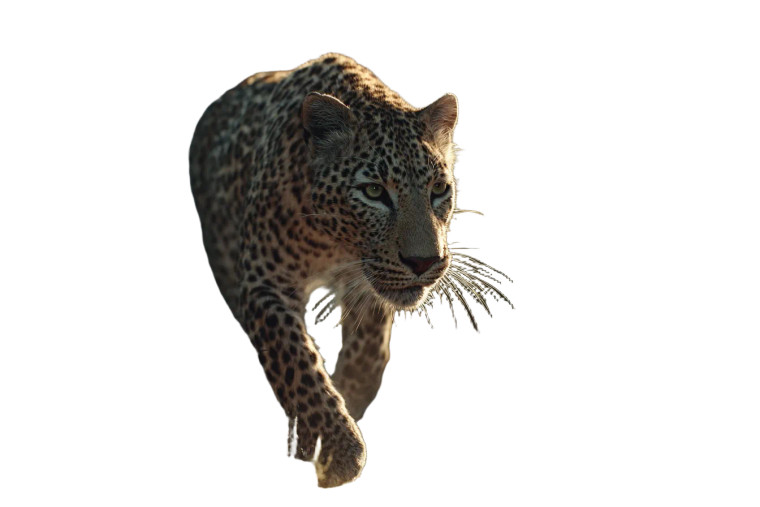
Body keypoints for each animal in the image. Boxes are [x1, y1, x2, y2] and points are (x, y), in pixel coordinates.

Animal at [189, 53, 510, 487]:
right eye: (373, 191)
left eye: (439, 190)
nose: (424, 262)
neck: (334, 242)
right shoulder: (264, 284)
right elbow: (298, 363)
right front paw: (339, 449)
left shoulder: (368, 286)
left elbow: (368, 355)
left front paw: (348, 403)